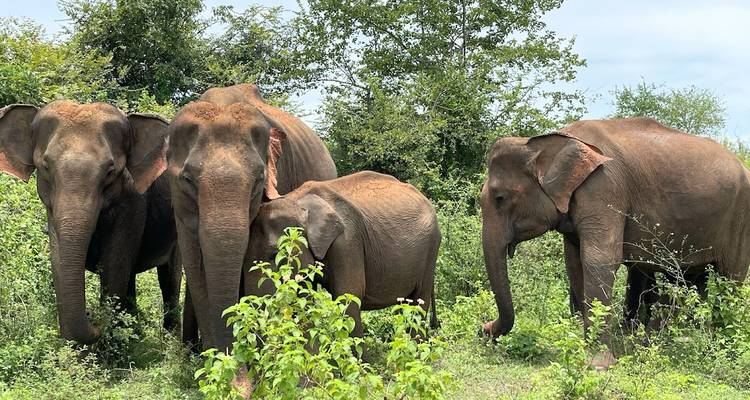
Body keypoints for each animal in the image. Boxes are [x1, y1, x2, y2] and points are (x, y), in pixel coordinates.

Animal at [0, 101, 181, 345]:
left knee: (170, 277)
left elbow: (114, 264)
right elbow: (58, 261)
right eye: (46, 166)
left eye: (110, 171)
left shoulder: (133, 202)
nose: (94, 323)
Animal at [245, 171, 441, 336]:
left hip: (431, 247)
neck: (296, 200)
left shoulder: (347, 241)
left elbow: (348, 295)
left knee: (419, 301)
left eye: (274, 254)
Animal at [480, 117, 750, 367]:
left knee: (730, 278)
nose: (483, 330)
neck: (547, 142)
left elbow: (599, 259)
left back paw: (717, 350)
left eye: (500, 198)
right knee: (692, 279)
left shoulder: (603, 187)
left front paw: (598, 365)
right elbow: (574, 263)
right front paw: (582, 349)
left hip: (740, 221)